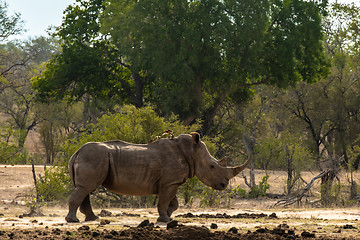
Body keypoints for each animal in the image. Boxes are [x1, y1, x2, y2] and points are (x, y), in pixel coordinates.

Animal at [64, 132, 250, 222]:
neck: (192, 152)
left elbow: (173, 202)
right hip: (94, 157)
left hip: (92, 157)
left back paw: (93, 218)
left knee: (85, 188)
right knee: (86, 188)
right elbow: (165, 200)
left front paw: (168, 216)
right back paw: (73, 221)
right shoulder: (170, 182)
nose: (224, 184)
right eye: (212, 166)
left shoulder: (170, 181)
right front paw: (165, 219)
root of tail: (76, 152)